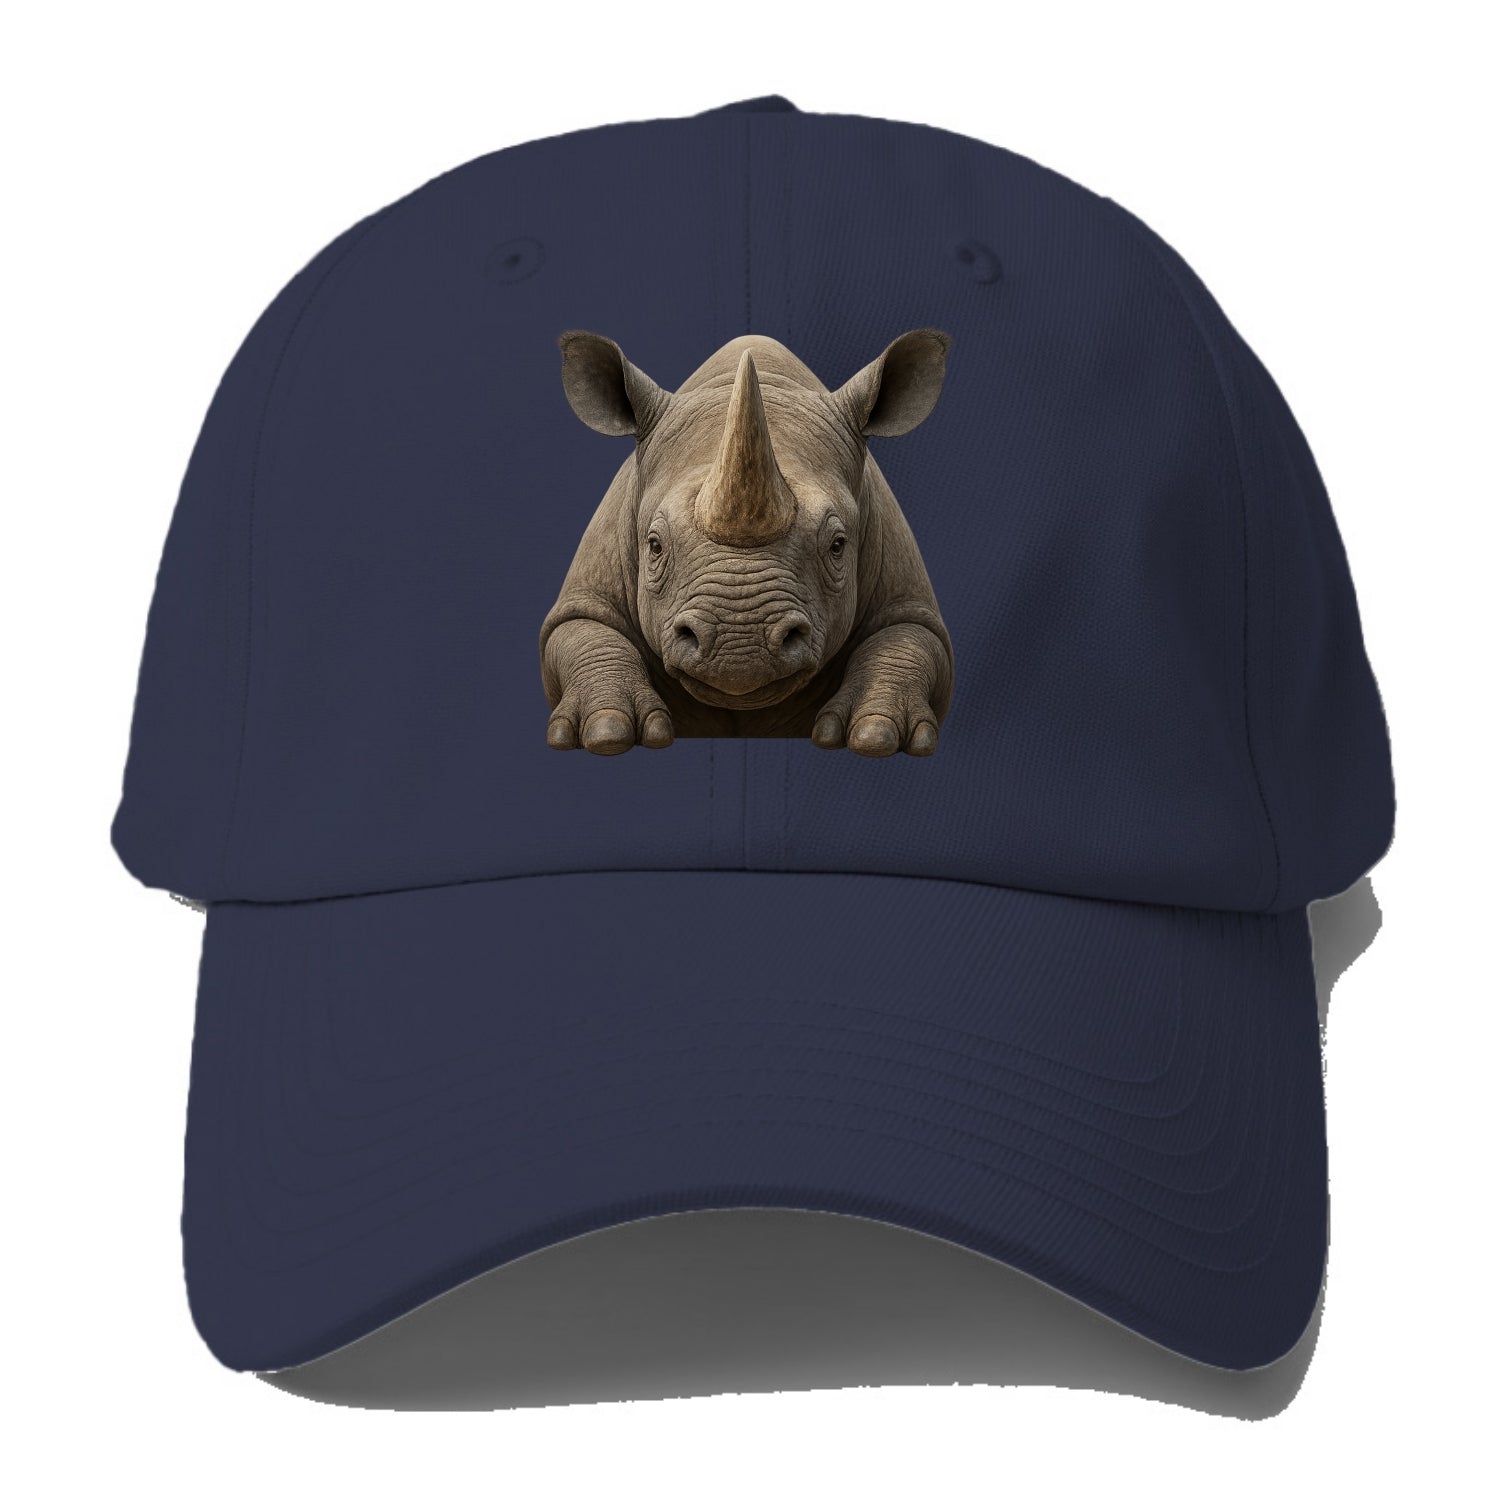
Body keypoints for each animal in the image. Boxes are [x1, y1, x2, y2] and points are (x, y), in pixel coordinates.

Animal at [539, 328, 955, 756]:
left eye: (838, 545)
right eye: (654, 546)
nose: (740, 647)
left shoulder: (906, 596)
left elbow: (908, 638)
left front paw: (876, 736)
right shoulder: (587, 594)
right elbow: (583, 630)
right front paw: (606, 732)